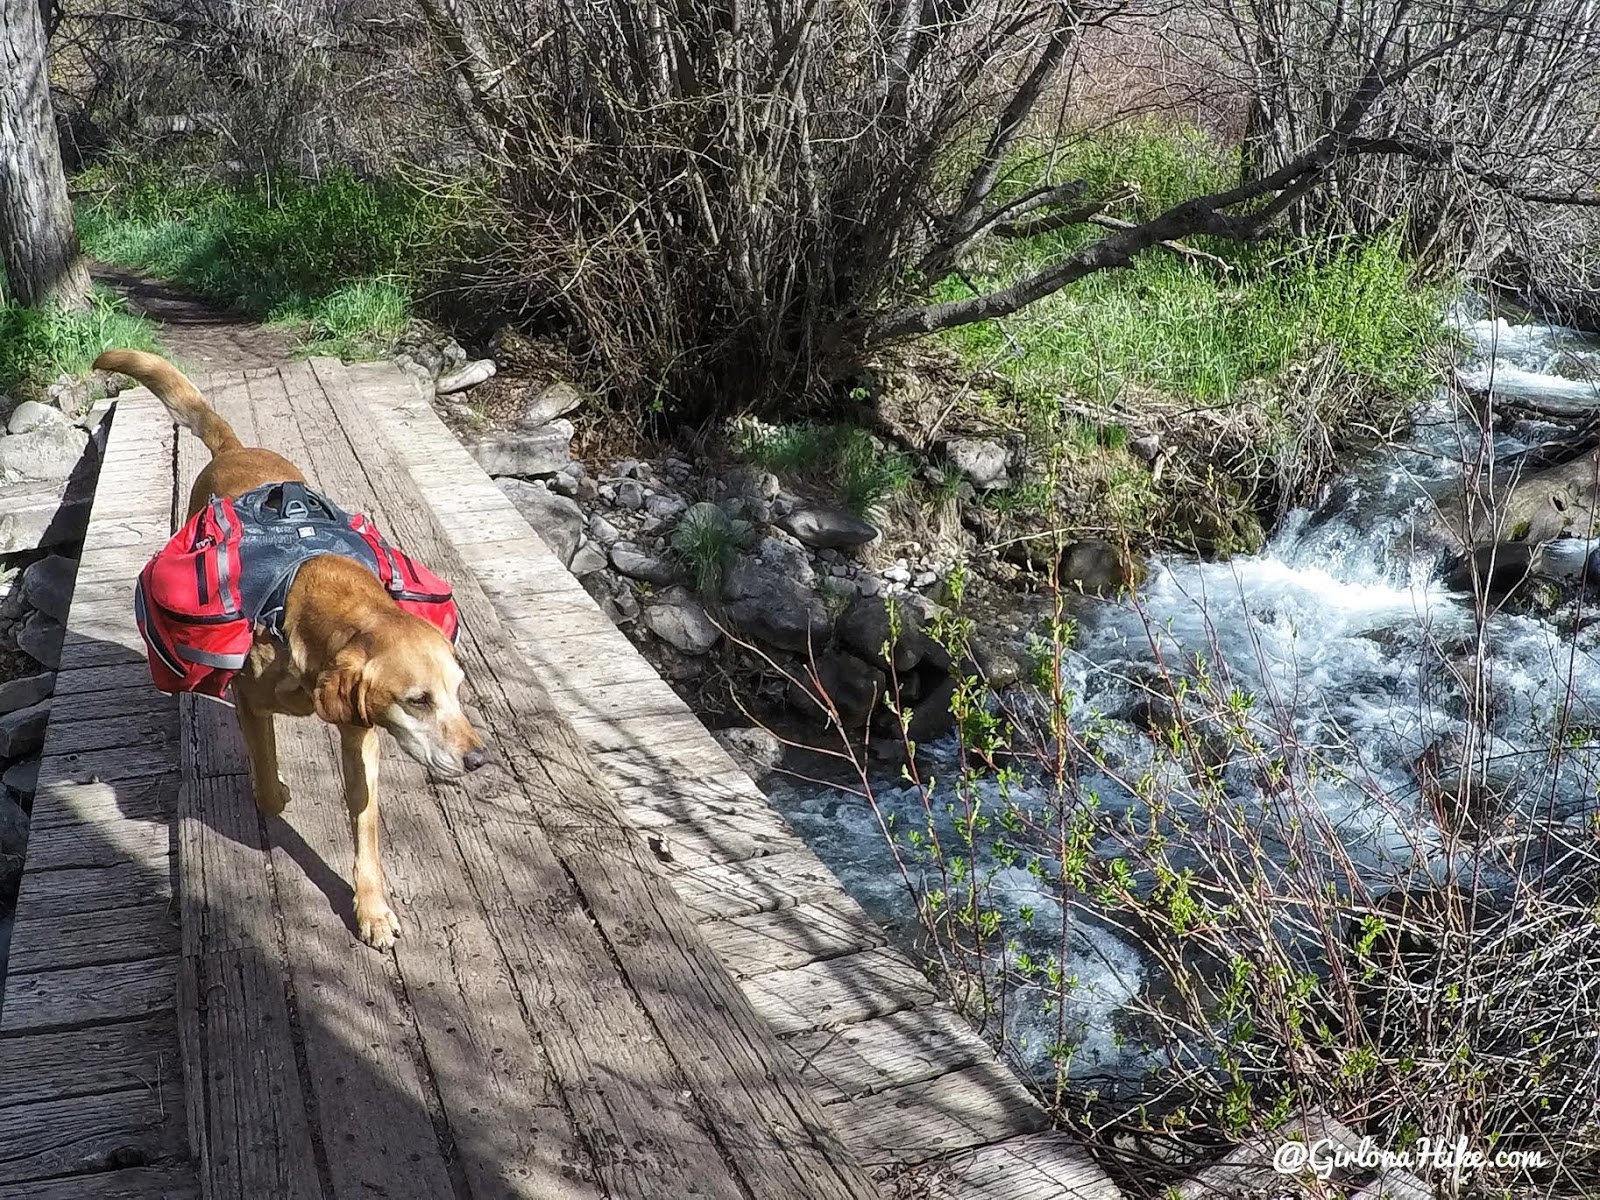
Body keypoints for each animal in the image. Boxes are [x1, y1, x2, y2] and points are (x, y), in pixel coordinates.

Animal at [96, 347, 483, 947]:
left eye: (458, 692)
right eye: (417, 701)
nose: (478, 759)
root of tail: (235, 446)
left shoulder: (360, 732)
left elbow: (365, 823)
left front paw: (372, 909)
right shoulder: (252, 703)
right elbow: (267, 783)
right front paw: (273, 788)